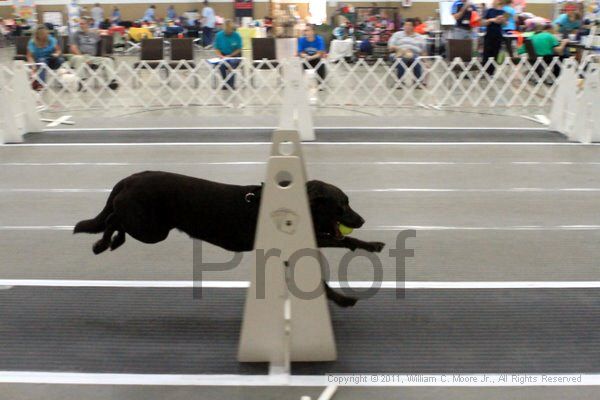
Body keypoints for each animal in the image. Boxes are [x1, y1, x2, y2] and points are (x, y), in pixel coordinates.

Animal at [75, 171, 384, 306]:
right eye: (342, 204)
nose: (361, 220)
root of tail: (129, 178)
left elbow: (326, 271)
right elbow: (340, 242)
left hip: (149, 227)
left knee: (115, 221)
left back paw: (112, 242)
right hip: (152, 229)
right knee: (113, 219)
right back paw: (103, 243)